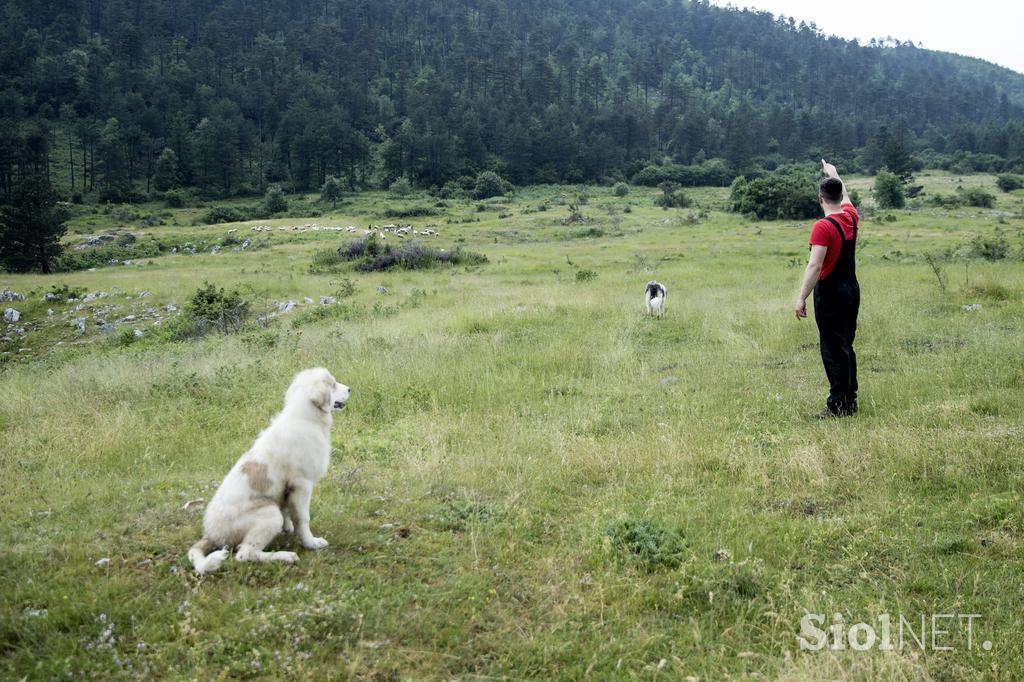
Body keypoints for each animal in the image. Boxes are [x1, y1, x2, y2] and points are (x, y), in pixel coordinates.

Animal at [189, 366, 352, 573]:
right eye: (333, 384)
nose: (350, 389)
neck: (306, 418)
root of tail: (211, 534)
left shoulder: (288, 489)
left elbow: (289, 512)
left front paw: (289, 529)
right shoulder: (302, 484)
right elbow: (303, 518)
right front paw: (311, 543)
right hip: (269, 512)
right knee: (245, 554)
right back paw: (285, 556)